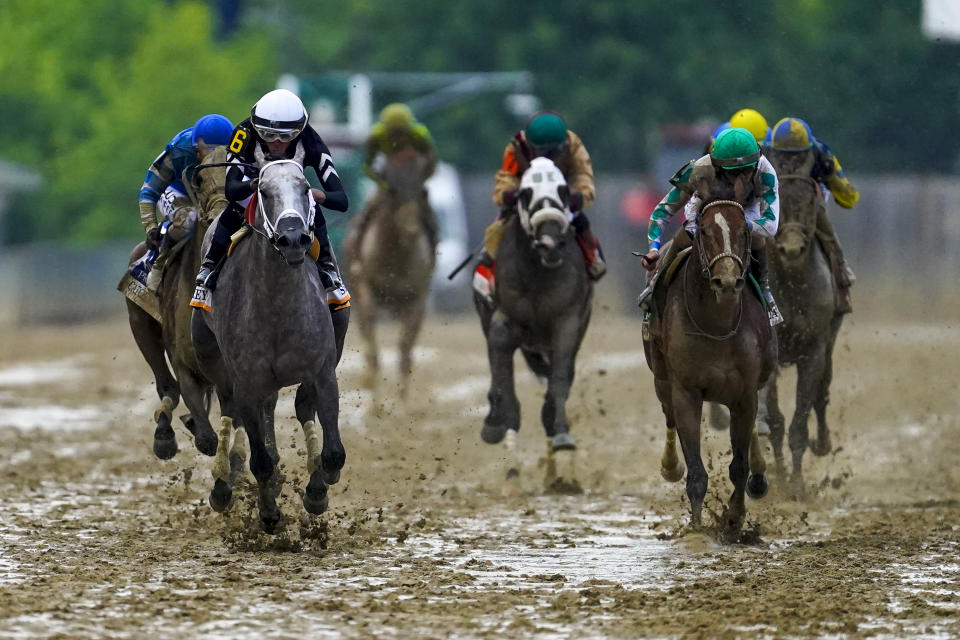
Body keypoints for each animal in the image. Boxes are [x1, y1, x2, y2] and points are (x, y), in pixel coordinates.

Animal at [191, 148, 344, 532]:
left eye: (305, 186)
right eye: (263, 190)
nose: (293, 239)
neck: (278, 309)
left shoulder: (322, 373)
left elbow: (333, 452)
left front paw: (318, 490)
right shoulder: (247, 383)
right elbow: (259, 460)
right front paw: (270, 514)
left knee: (298, 409)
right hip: (214, 360)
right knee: (231, 411)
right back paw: (223, 486)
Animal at [344, 152, 436, 398]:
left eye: (421, 190)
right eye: (392, 190)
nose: (411, 229)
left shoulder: (416, 299)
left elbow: (405, 353)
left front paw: (402, 404)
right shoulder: (366, 288)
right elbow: (372, 349)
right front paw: (376, 403)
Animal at [474, 158, 592, 492]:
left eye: (563, 190)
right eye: (526, 193)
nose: (550, 242)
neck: (538, 272)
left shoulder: (567, 322)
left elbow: (558, 385)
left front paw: (562, 437)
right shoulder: (503, 324)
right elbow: (506, 395)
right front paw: (509, 461)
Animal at [640, 190, 776, 536]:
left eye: (743, 231)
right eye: (703, 230)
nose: (726, 281)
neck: (717, 323)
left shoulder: (744, 394)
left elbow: (739, 465)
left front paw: (734, 518)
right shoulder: (686, 391)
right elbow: (697, 472)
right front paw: (697, 528)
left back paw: (759, 478)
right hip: (661, 378)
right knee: (668, 415)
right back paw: (670, 466)